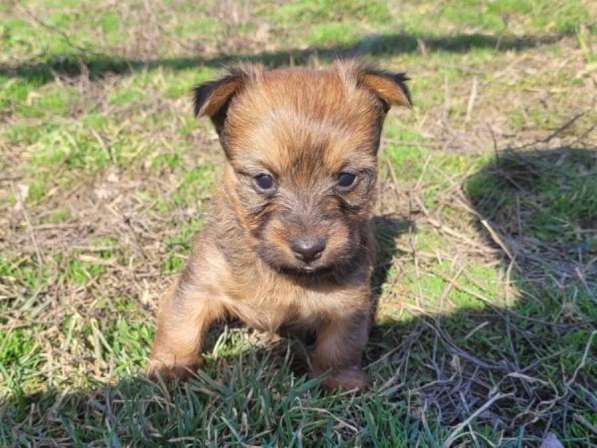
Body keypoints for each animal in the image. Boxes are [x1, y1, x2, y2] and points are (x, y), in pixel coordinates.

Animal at [148, 61, 410, 390]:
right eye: (264, 180)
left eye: (346, 178)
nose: (309, 250)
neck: (280, 271)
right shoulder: (199, 283)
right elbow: (181, 323)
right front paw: (171, 366)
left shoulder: (349, 300)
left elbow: (340, 344)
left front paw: (340, 380)